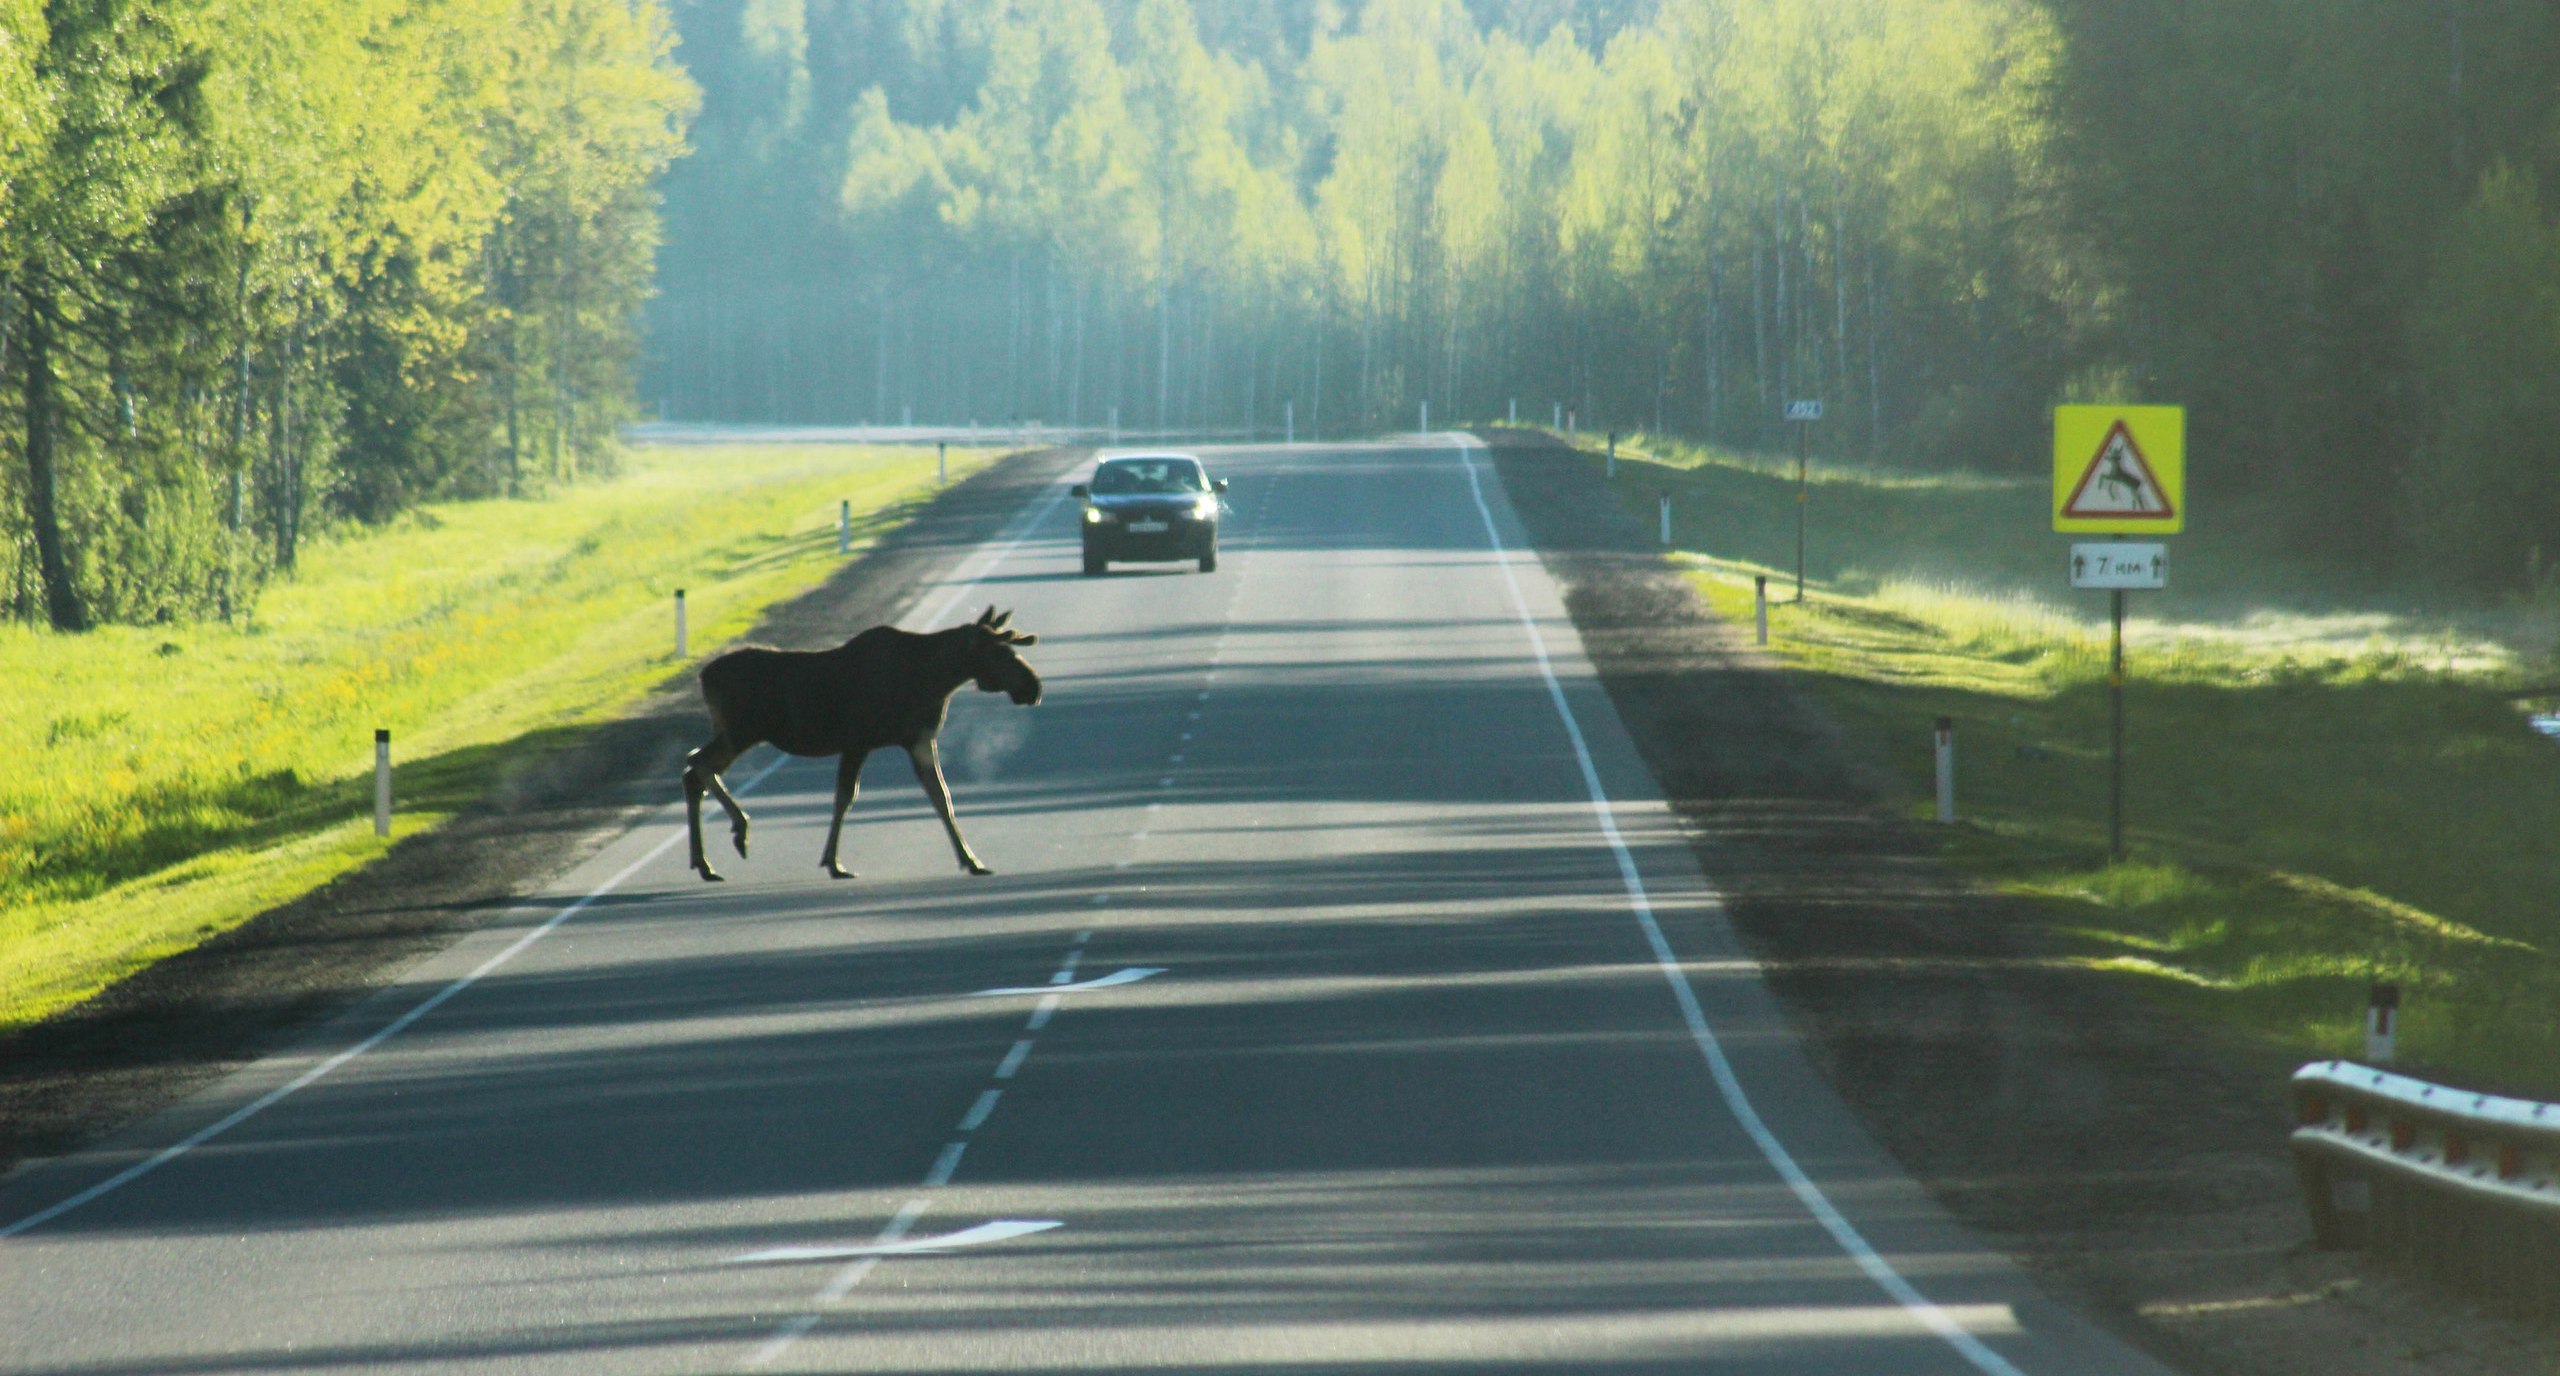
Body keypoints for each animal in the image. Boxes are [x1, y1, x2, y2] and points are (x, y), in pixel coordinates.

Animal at [686, 606, 1044, 884]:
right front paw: (833, 863)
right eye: (1000, 653)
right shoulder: (858, 742)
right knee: (697, 765)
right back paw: (731, 837)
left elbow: (942, 797)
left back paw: (710, 857)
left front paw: (971, 860)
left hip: (735, 734)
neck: (937, 679)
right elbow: (845, 798)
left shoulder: (919, 740)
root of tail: (703, 676)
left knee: (694, 767)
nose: (1033, 687)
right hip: (741, 733)